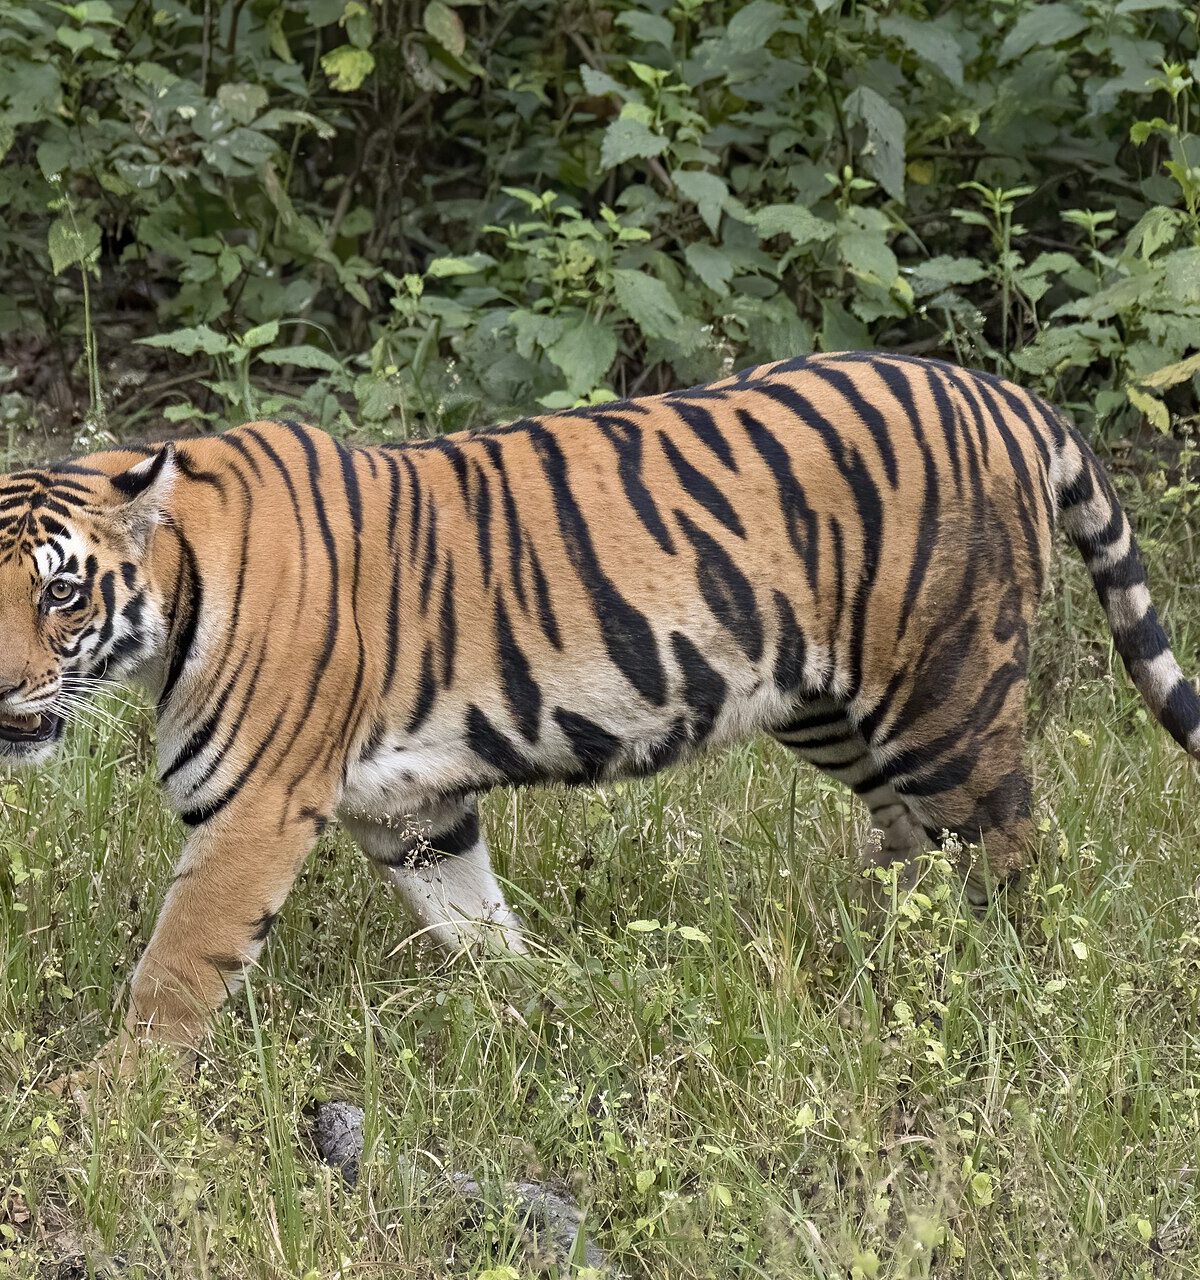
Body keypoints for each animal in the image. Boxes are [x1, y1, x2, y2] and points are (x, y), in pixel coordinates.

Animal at [1, 351, 1196, 1077]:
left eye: (61, 593)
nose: (5, 688)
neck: (173, 590)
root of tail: (1000, 390)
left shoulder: (252, 810)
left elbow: (176, 969)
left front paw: (107, 1100)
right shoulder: (411, 812)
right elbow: (476, 921)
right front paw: (545, 1002)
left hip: (944, 693)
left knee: (1012, 850)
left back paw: (991, 993)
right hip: (827, 708)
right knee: (914, 843)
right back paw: (882, 956)